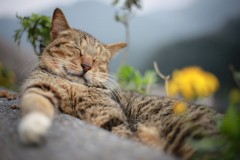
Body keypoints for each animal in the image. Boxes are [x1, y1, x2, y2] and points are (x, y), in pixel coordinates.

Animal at [18, 8, 221, 159]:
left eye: (98, 59)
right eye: (76, 49)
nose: (87, 66)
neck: (74, 87)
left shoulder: (112, 117)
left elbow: (125, 135)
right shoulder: (38, 88)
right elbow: (36, 105)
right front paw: (33, 127)